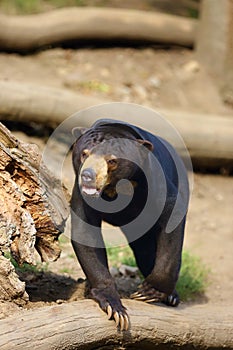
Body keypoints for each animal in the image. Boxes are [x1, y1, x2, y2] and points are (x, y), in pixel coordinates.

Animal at [71, 119, 189, 330]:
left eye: (112, 160)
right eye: (84, 153)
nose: (87, 176)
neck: (115, 188)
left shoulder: (154, 183)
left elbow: (172, 216)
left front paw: (147, 292)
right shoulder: (82, 196)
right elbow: (85, 233)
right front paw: (115, 308)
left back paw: (172, 297)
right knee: (144, 250)